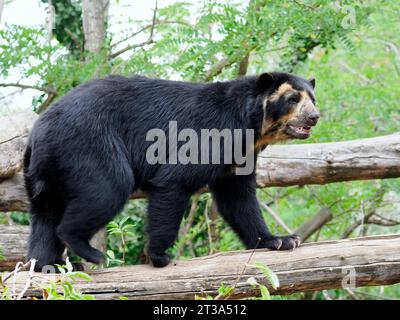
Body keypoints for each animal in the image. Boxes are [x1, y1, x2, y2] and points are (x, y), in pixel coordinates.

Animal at [24, 72, 318, 270]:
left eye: (312, 98)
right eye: (293, 99)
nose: (314, 117)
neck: (249, 128)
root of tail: (39, 130)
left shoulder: (239, 154)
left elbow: (238, 198)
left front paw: (279, 240)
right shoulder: (210, 135)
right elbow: (175, 180)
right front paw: (159, 255)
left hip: (46, 172)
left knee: (45, 214)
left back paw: (45, 264)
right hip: (88, 143)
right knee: (107, 189)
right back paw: (89, 252)